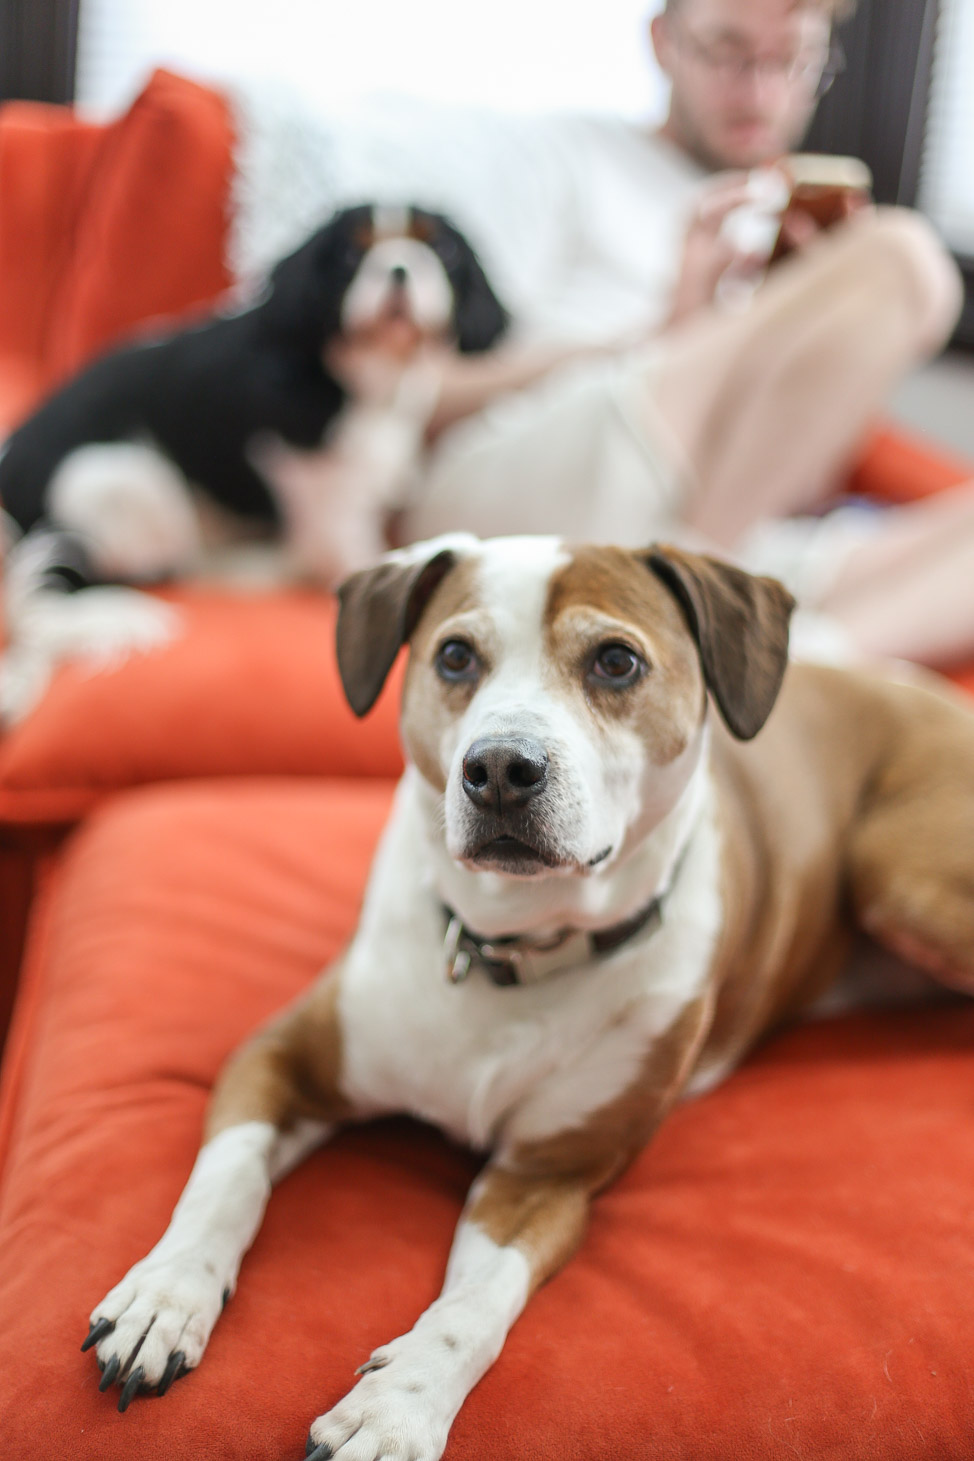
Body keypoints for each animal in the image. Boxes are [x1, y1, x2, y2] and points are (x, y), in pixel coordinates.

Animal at [1, 208, 511, 721]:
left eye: (441, 249)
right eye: (351, 253)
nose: (400, 267)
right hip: (120, 478)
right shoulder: (324, 501)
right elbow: (353, 552)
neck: (367, 376)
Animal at [79, 534, 974, 1449]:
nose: (502, 766)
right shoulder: (280, 1056)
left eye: (616, 660)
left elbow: (474, 1307)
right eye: (454, 655)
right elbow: (225, 1179)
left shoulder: (549, 1174)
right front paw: (165, 1295)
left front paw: (395, 1409)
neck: (507, 947)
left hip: (898, 872)